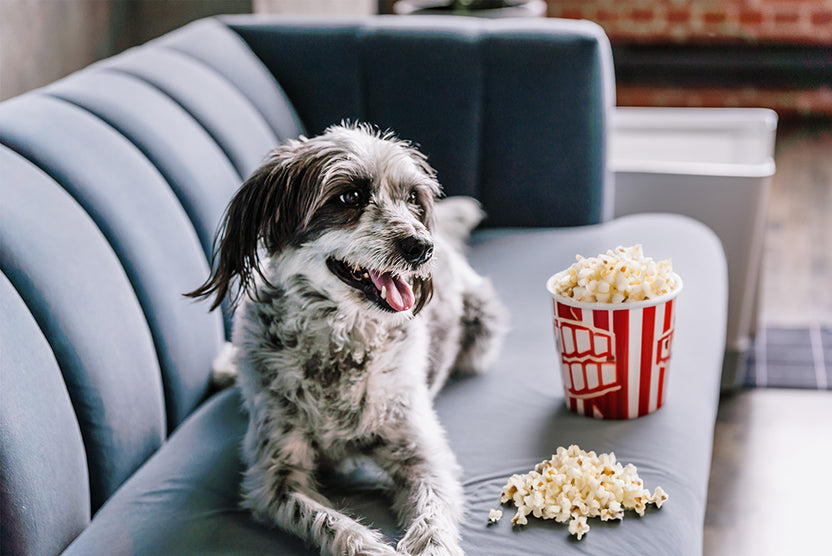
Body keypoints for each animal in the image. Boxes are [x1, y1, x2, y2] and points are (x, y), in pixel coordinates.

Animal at [188, 125, 508, 556]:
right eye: (349, 197)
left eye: (413, 198)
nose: (422, 247)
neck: (342, 337)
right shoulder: (275, 474)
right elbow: (327, 521)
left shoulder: (420, 452)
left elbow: (432, 514)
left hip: (482, 323)